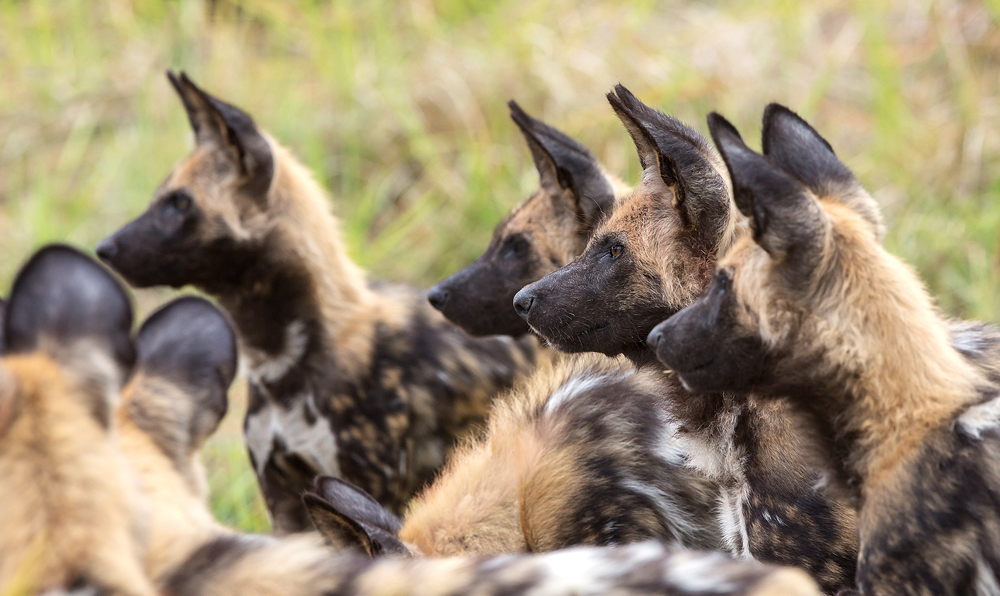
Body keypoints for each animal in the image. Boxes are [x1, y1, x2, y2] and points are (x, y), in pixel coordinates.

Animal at [97, 70, 540, 532]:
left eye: (180, 202)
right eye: (161, 198)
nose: (104, 249)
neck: (280, 363)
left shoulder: (367, 489)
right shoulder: (284, 497)